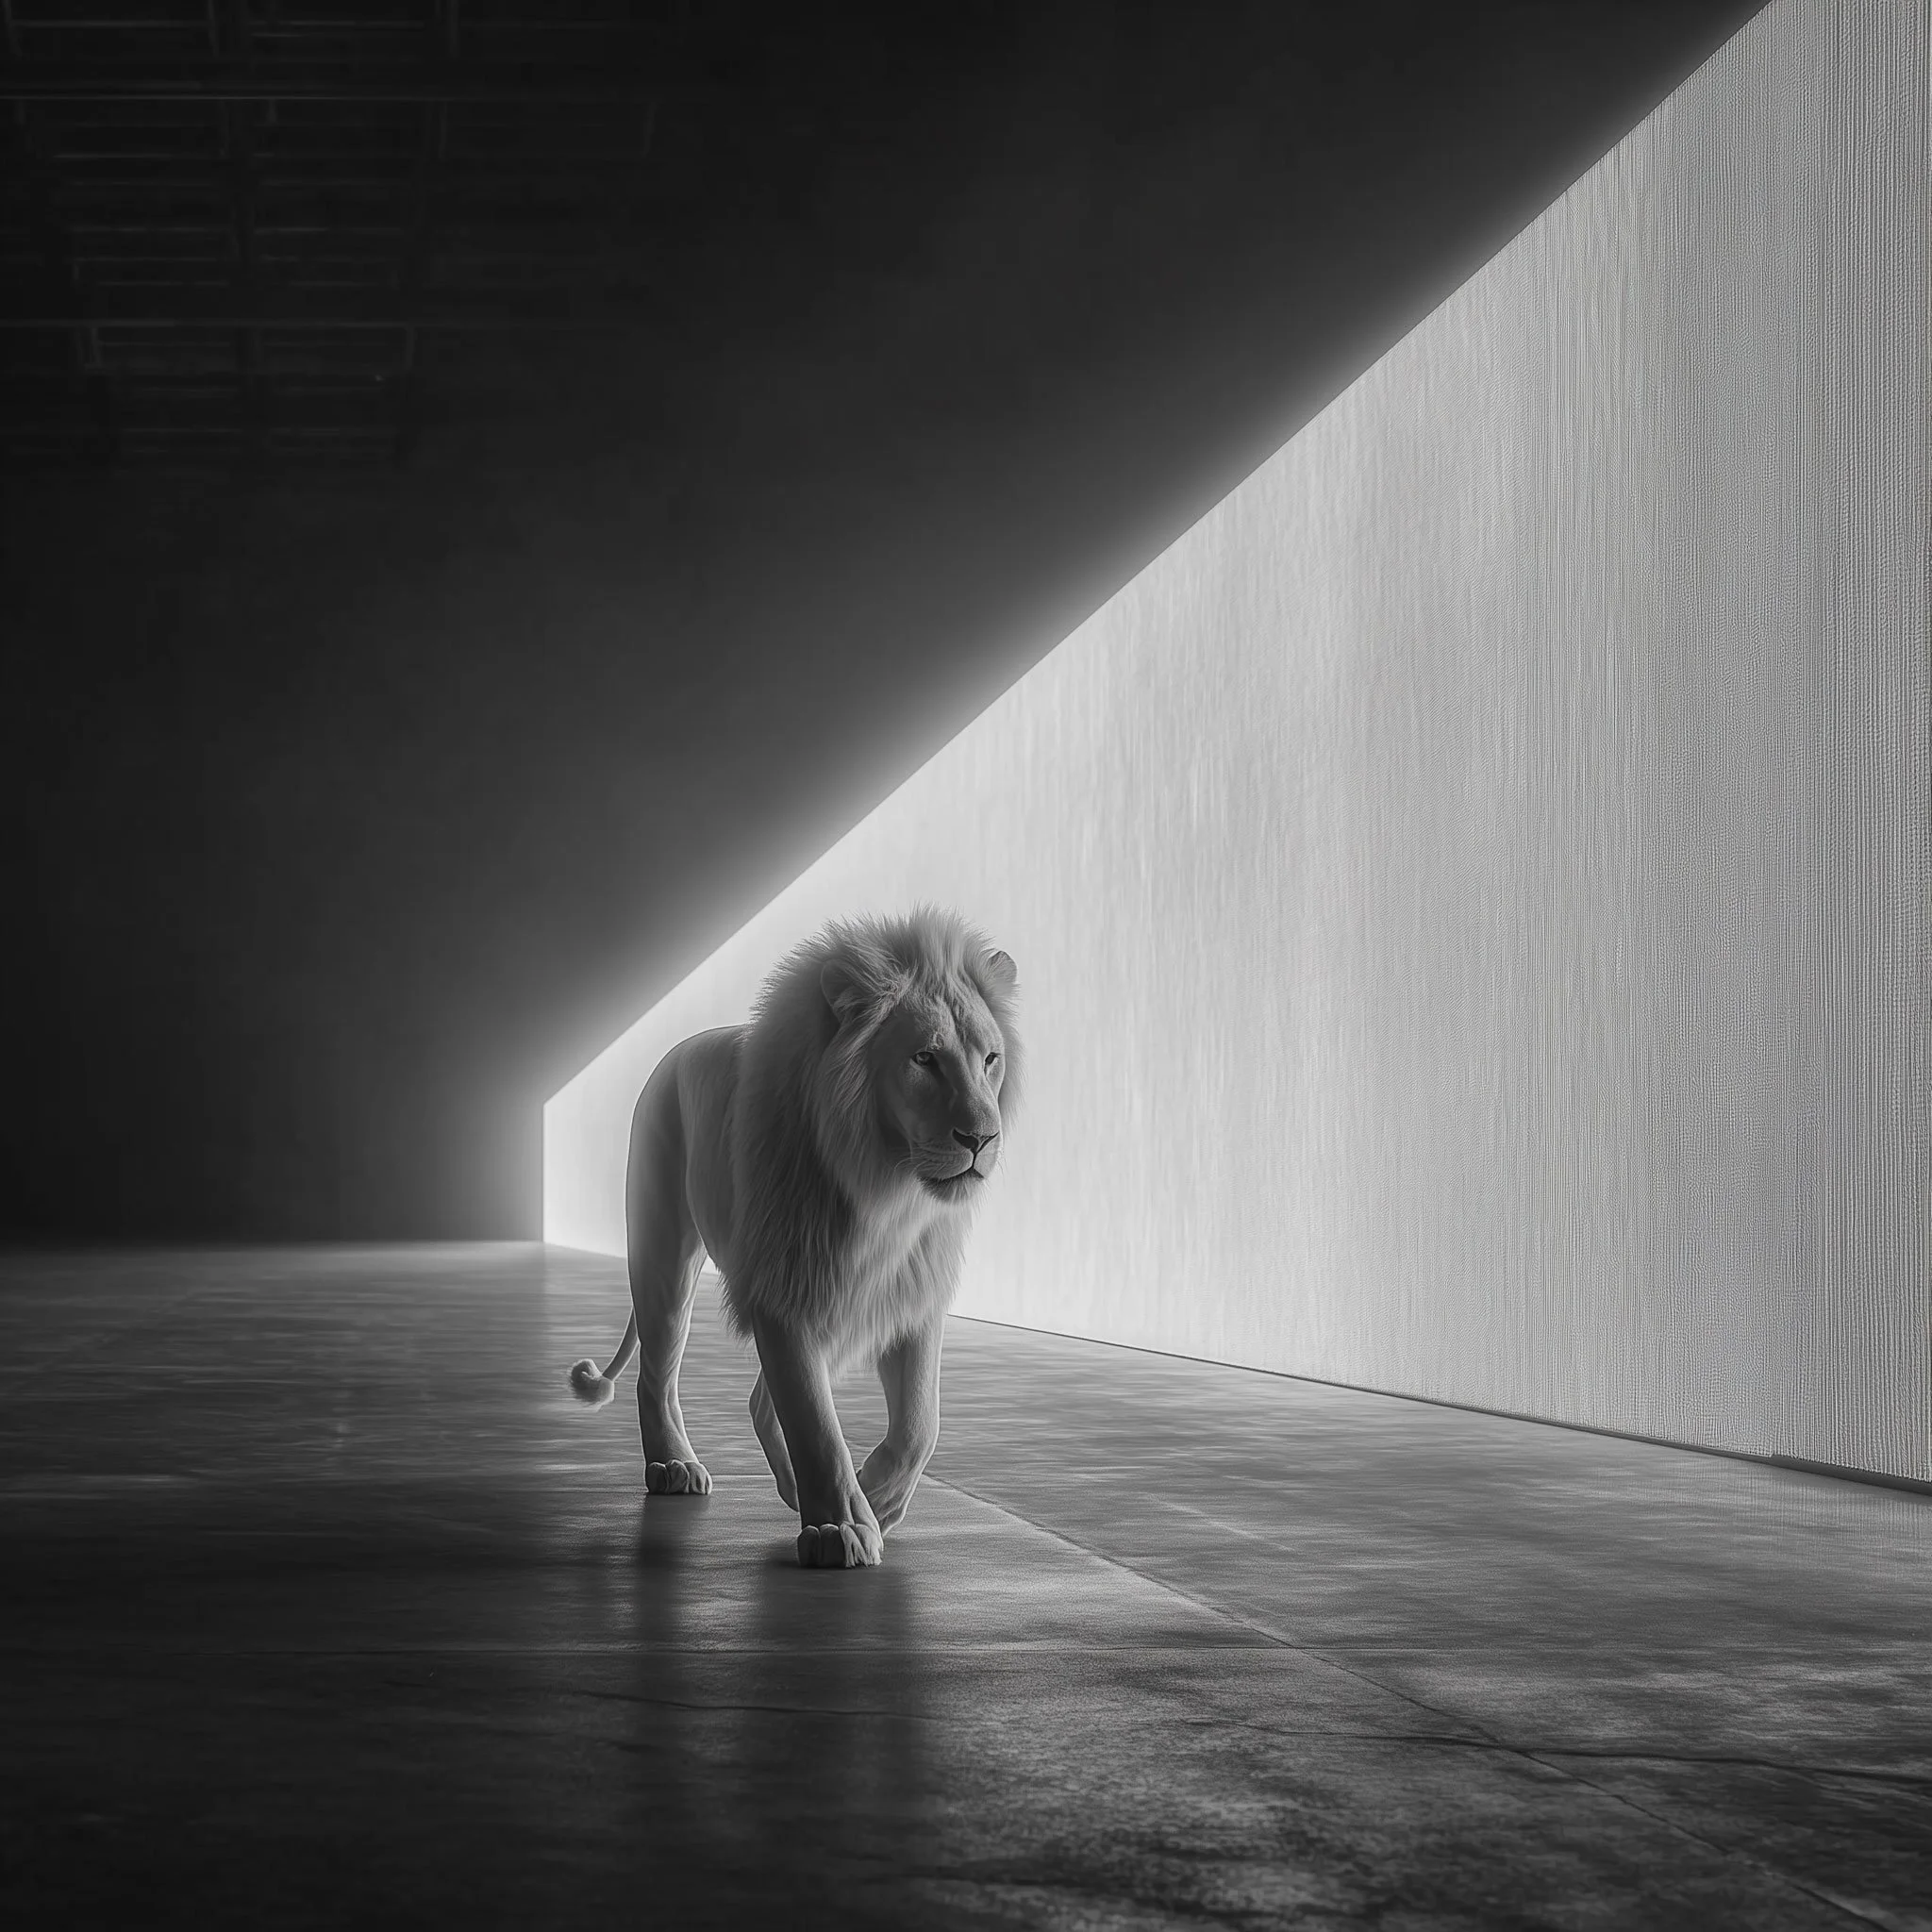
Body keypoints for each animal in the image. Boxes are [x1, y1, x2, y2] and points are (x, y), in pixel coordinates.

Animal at [567, 907, 1021, 1569]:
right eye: (924, 1059)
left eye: (990, 1059)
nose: (981, 1139)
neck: (883, 1186)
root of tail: (674, 1052)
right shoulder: (783, 1287)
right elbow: (814, 1422)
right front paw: (839, 1527)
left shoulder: (908, 1290)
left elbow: (919, 1423)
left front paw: (877, 1497)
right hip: (662, 1252)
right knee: (659, 1373)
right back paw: (674, 1465)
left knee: (759, 1398)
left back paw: (788, 1489)